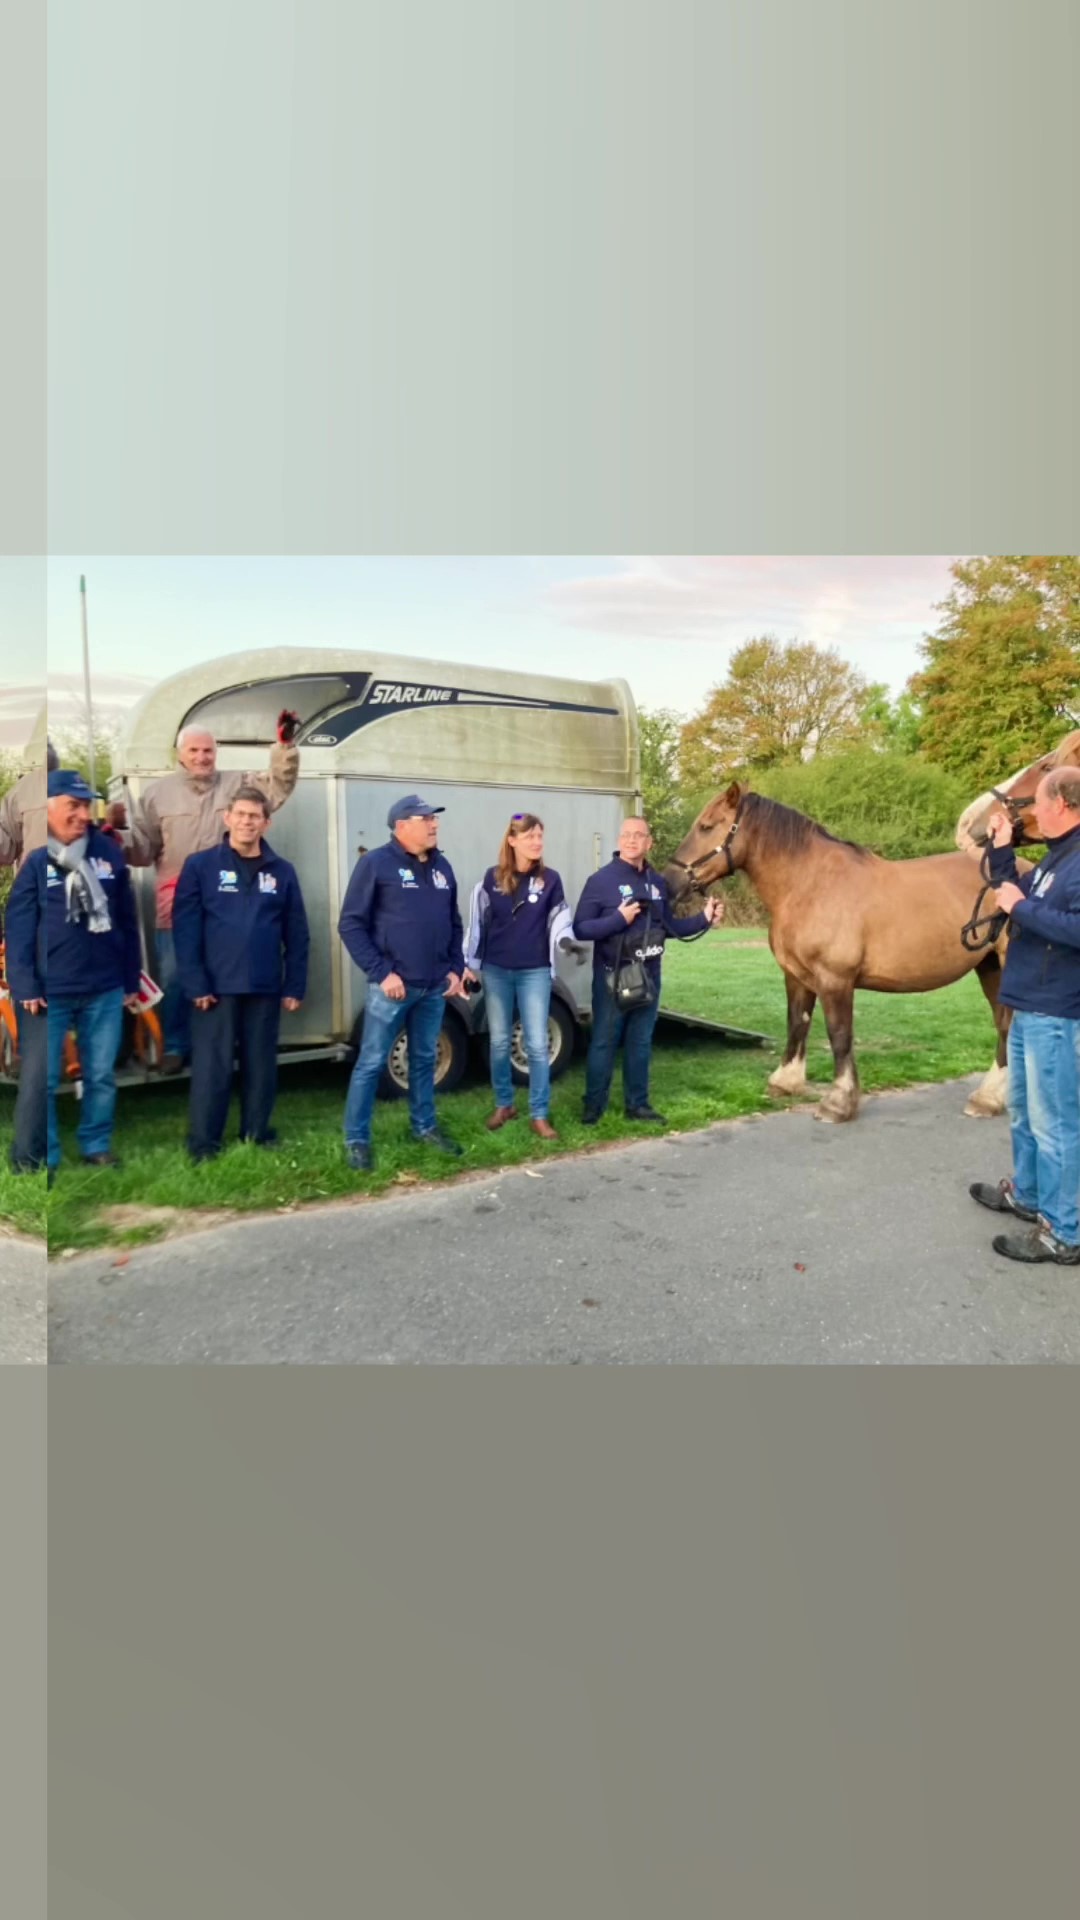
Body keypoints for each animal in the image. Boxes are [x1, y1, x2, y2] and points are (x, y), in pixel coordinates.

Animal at [661, 783, 1022, 1121]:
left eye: (706, 826)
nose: (669, 883)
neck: (810, 885)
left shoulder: (835, 979)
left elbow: (839, 1034)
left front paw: (839, 1102)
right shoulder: (796, 976)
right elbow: (797, 1022)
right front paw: (785, 1082)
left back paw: (990, 1100)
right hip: (989, 966)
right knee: (1003, 1026)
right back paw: (990, 1097)